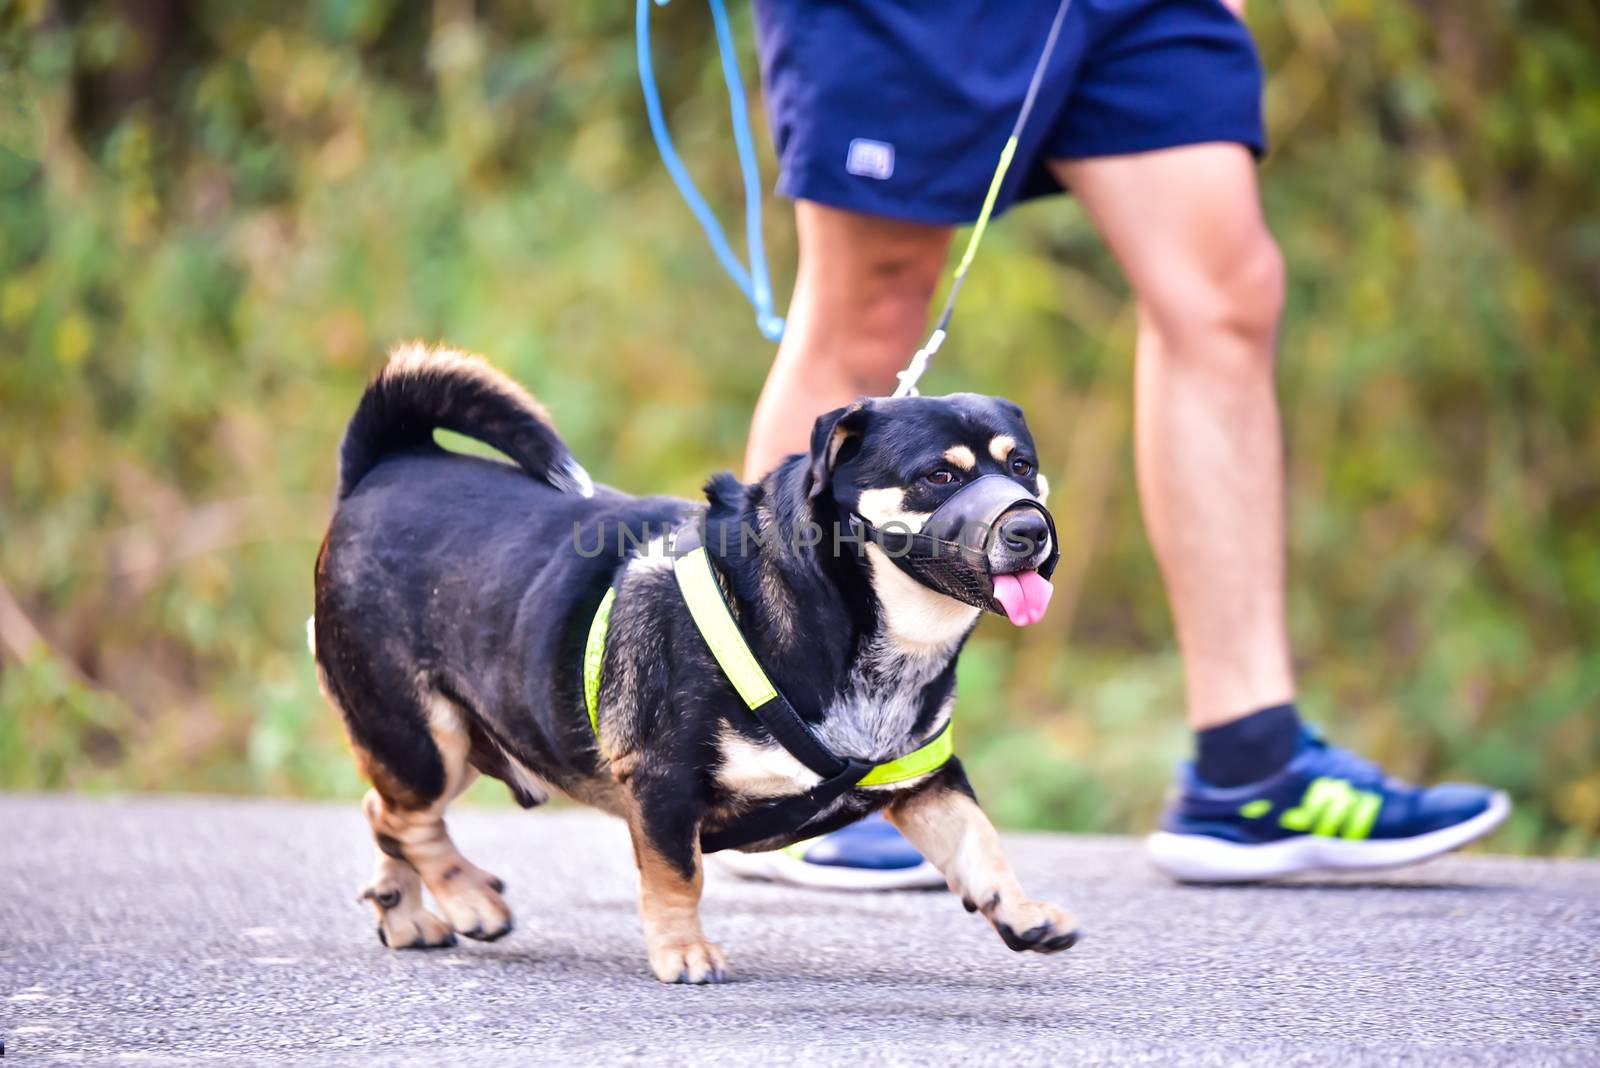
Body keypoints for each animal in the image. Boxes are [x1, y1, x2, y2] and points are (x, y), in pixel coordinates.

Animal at [310, 343, 1075, 984]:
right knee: (409, 818)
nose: (1029, 527)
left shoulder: (924, 775)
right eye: (938, 475)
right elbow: (678, 876)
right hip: (420, 734)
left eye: (1022, 467)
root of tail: (389, 463)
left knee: (383, 810)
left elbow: (978, 841)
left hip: (464, 737)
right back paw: (468, 898)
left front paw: (1022, 910)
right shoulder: (663, 779)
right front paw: (683, 951)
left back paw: (404, 910)